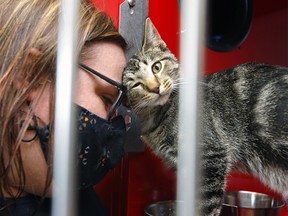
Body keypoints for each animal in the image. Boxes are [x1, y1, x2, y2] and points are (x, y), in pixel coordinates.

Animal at [122, 17, 288, 215]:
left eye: (156, 67)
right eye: (136, 85)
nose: (155, 88)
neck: (156, 120)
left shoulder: (210, 158)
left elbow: (205, 206)